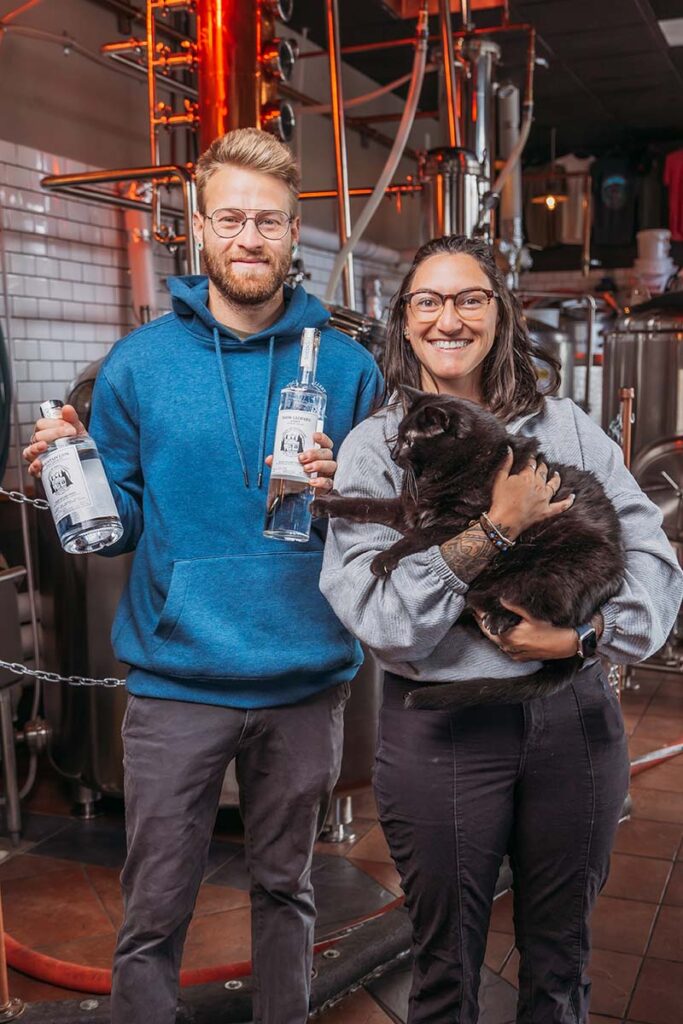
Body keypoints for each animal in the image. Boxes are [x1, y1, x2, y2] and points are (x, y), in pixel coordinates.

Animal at [313, 391, 626, 712]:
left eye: (409, 440)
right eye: (397, 436)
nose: (394, 454)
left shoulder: (454, 526)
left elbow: (413, 539)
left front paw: (382, 559)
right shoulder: (407, 509)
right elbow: (366, 504)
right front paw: (327, 503)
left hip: (552, 569)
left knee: (540, 607)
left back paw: (498, 617)